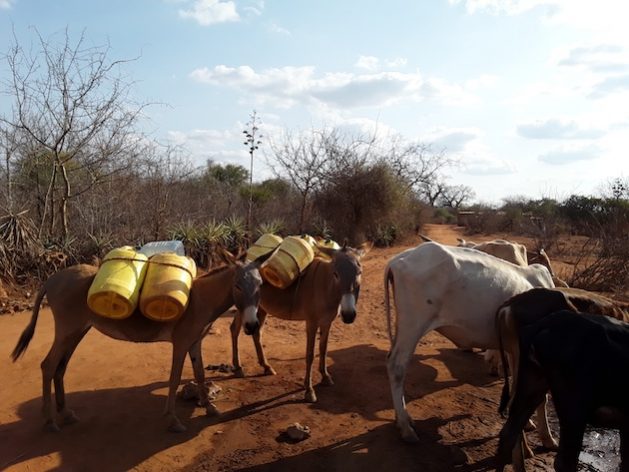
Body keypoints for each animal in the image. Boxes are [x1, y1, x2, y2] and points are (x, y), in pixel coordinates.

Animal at [382, 242, 556, 444]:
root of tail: (397, 260)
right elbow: (538, 397)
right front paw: (548, 438)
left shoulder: (516, 351)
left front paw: (527, 424)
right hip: (413, 325)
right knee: (396, 366)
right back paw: (406, 428)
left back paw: (403, 419)